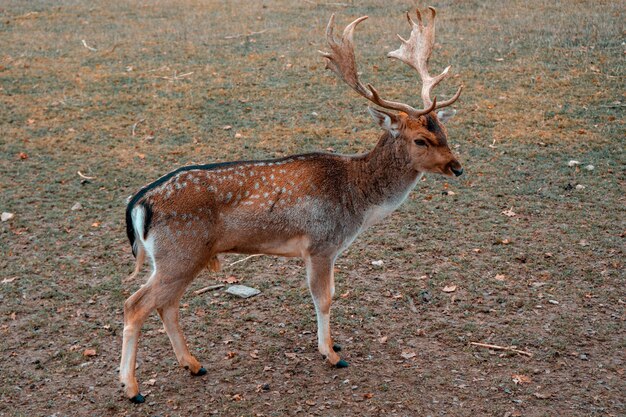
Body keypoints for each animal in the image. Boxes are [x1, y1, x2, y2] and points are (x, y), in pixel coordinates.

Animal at [119, 6, 464, 402]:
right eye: (421, 139)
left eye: (444, 131)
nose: (457, 167)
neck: (357, 201)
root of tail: (139, 202)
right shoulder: (320, 244)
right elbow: (324, 298)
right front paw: (332, 354)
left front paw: (332, 347)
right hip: (180, 252)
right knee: (135, 305)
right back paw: (132, 387)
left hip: (176, 258)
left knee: (167, 304)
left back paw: (193, 364)